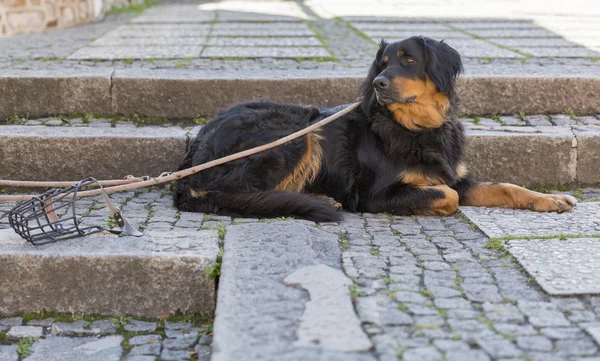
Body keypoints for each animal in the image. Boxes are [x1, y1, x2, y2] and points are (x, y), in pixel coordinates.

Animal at [173, 37, 576, 222]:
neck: (417, 128)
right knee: (236, 193)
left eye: (408, 60)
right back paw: (316, 201)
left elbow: (503, 186)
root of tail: (193, 157)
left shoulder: (455, 175)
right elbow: (447, 196)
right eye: (382, 64)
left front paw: (548, 199)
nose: (380, 83)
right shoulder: (375, 196)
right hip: (299, 130)